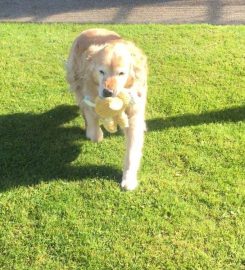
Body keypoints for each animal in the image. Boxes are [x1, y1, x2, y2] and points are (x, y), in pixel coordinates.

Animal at [66, 29, 147, 190]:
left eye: (121, 73)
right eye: (101, 71)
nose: (108, 92)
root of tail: (88, 30)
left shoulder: (134, 115)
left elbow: (132, 151)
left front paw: (129, 179)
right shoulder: (89, 92)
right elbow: (93, 121)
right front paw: (95, 133)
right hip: (76, 79)